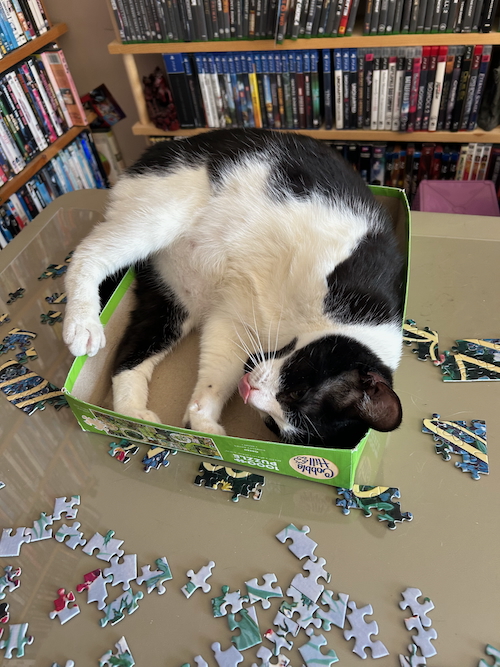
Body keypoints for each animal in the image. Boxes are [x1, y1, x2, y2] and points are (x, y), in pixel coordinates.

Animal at [63, 128, 404, 449]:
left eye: (272, 423)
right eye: (298, 390)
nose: (249, 390)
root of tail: (163, 147)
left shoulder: (229, 320)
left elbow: (216, 371)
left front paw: (203, 421)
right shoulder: (333, 245)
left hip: (172, 302)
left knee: (129, 353)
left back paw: (132, 416)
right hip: (162, 211)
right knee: (89, 253)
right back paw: (82, 325)